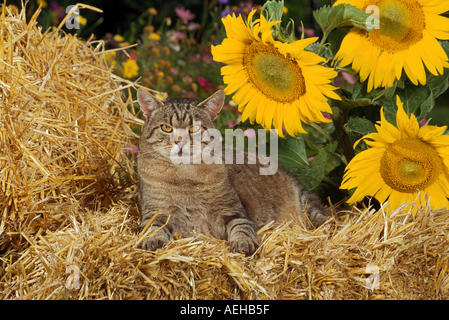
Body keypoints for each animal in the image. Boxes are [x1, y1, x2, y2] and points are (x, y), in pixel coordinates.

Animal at [136, 87, 328, 255]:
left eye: (194, 128)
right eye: (166, 128)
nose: (180, 141)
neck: (185, 176)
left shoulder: (233, 212)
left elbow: (241, 227)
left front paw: (244, 243)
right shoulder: (155, 212)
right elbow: (152, 227)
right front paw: (151, 240)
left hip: (306, 204)